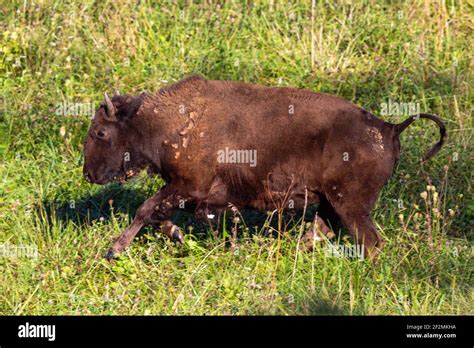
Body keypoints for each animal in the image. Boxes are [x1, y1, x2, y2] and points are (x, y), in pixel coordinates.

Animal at [83, 75, 446, 260]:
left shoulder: (188, 186)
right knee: (320, 231)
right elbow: (160, 215)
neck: (163, 121)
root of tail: (389, 127)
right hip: (332, 203)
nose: (88, 174)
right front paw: (179, 236)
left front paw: (114, 250)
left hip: (351, 205)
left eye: (100, 132)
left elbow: (146, 210)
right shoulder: (191, 194)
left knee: (369, 241)